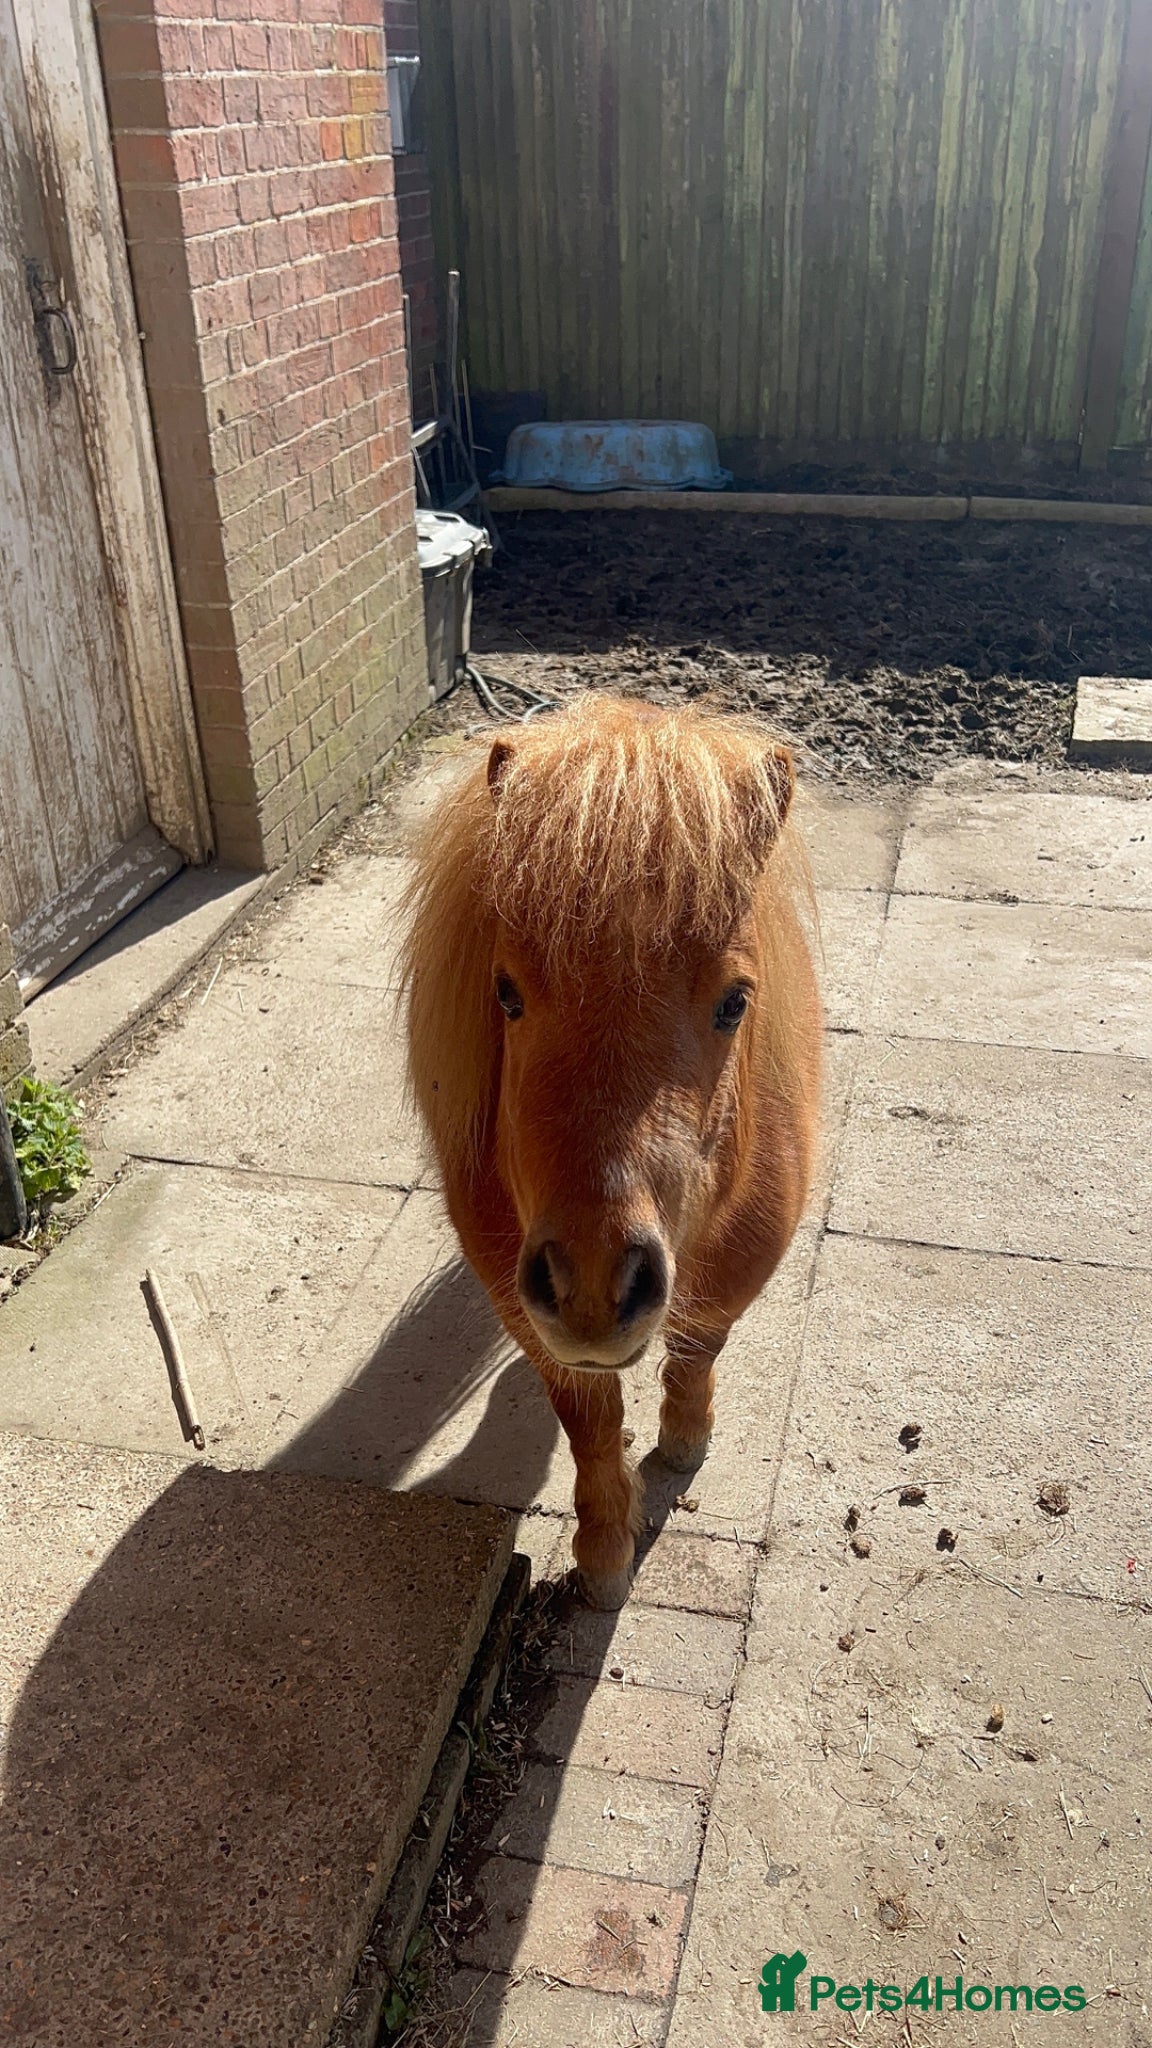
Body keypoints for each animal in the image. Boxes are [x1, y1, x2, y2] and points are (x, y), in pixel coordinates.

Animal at [403, 694, 822, 1608]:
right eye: (507, 993)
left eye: (736, 1002)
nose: (594, 1286)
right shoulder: (527, 1307)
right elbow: (590, 1421)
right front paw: (603, 1554)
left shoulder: (732, 1278)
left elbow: (696, 1353)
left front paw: (685, 1441)